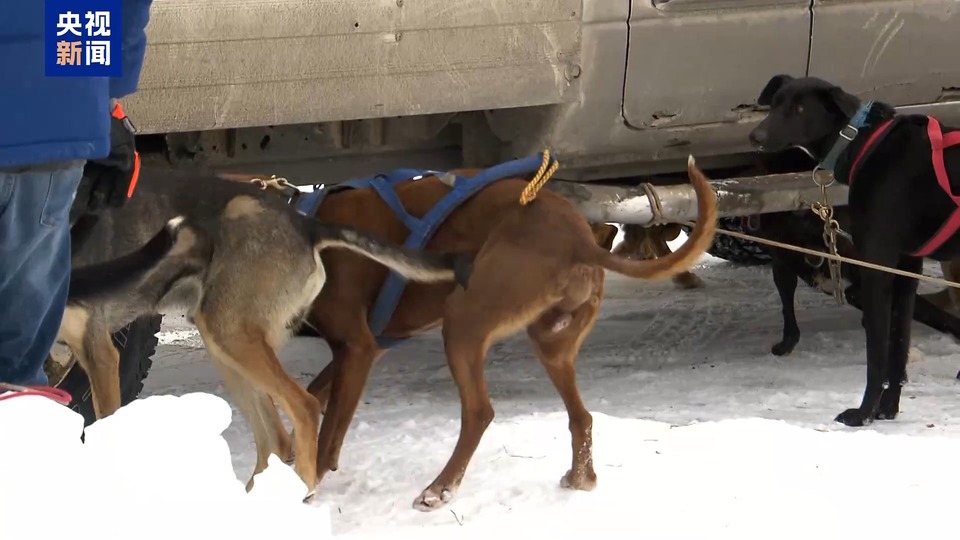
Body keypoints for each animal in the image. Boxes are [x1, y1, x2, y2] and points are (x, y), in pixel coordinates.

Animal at [274, 154, 716, 508]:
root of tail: (581, 241)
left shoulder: (358, 347)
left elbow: (329, 430)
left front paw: (310, 483)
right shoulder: (365, 349)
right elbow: (312, 396)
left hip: (463, 321)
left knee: (479, 412)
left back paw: (439, 489)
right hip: (551, 342)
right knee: (582, 417)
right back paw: (580, 479)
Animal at [752, 75, 960, 426]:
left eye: (799, 108)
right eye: (775, 103)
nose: (755, 136)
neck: (864, 142)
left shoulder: (876, 268)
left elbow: (877, 353)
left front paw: (862, 414)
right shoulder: (907, 268)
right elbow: (898, 345)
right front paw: (887, 409)